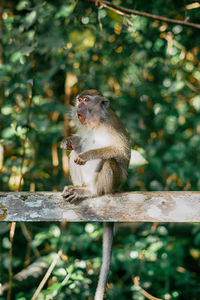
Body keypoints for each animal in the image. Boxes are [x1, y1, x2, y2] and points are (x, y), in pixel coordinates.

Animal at [61, 89, 131, 300]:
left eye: (86, 100)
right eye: (79, 100)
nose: (79, 106)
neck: (96, 123)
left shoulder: (111, 125)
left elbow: (119, 151)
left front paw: (86, 155)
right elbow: (78, 142)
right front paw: (67, 141)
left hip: (110, 182)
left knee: (108, 160)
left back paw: (90, 191)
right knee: (73, 154)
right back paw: (79, 187)